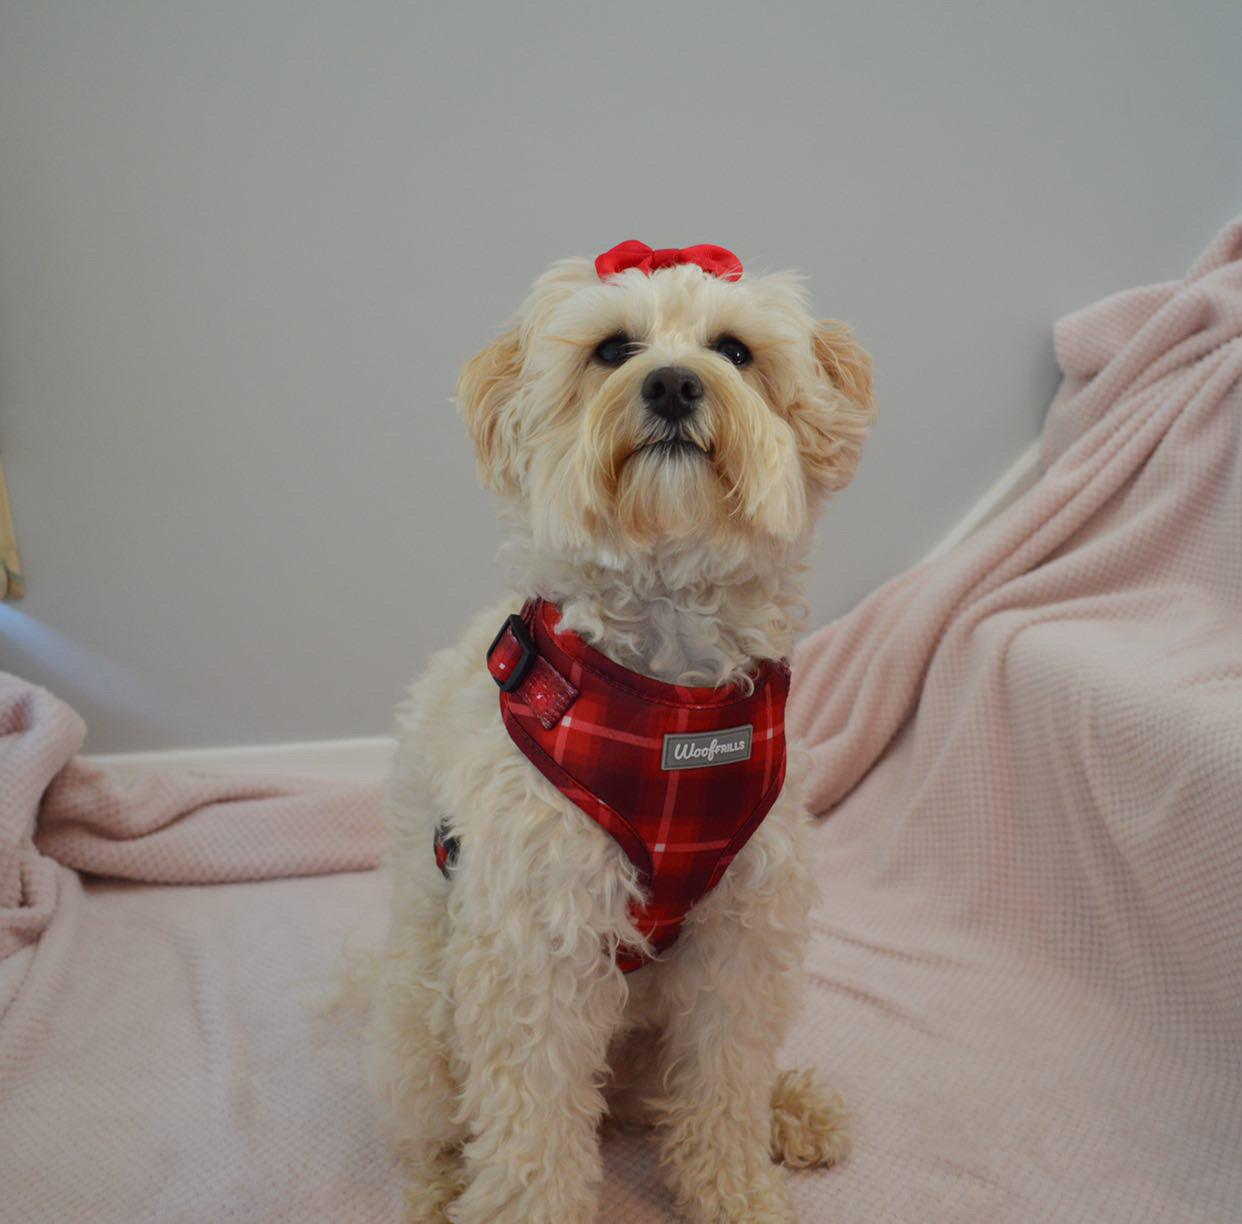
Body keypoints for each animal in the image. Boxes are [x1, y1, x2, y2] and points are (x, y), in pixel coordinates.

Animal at [365, 240, 874, 1221]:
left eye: (735, 351)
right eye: (611, 349)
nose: (674, 384)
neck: (668, 706)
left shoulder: (742, 934)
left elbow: (722, 1088)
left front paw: (737, 1191)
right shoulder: (537, 949)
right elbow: (530, 1136)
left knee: (664, 1095)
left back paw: (789, 1111)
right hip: (422, 1012)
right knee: (435, 1128)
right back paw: (444, 1188)